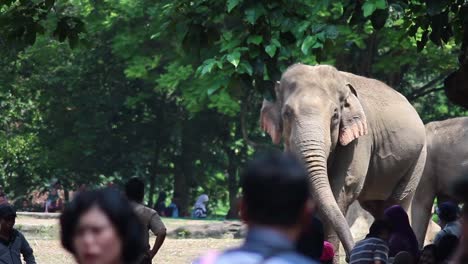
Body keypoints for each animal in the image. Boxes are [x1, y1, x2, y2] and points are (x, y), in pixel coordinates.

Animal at [260, 63, 428, 258]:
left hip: (418, 158)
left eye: (335, 115)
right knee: (377, 207)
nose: (349, 256)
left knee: (397, 203)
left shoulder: (360, 140)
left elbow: (341, 190)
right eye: (287, 113)